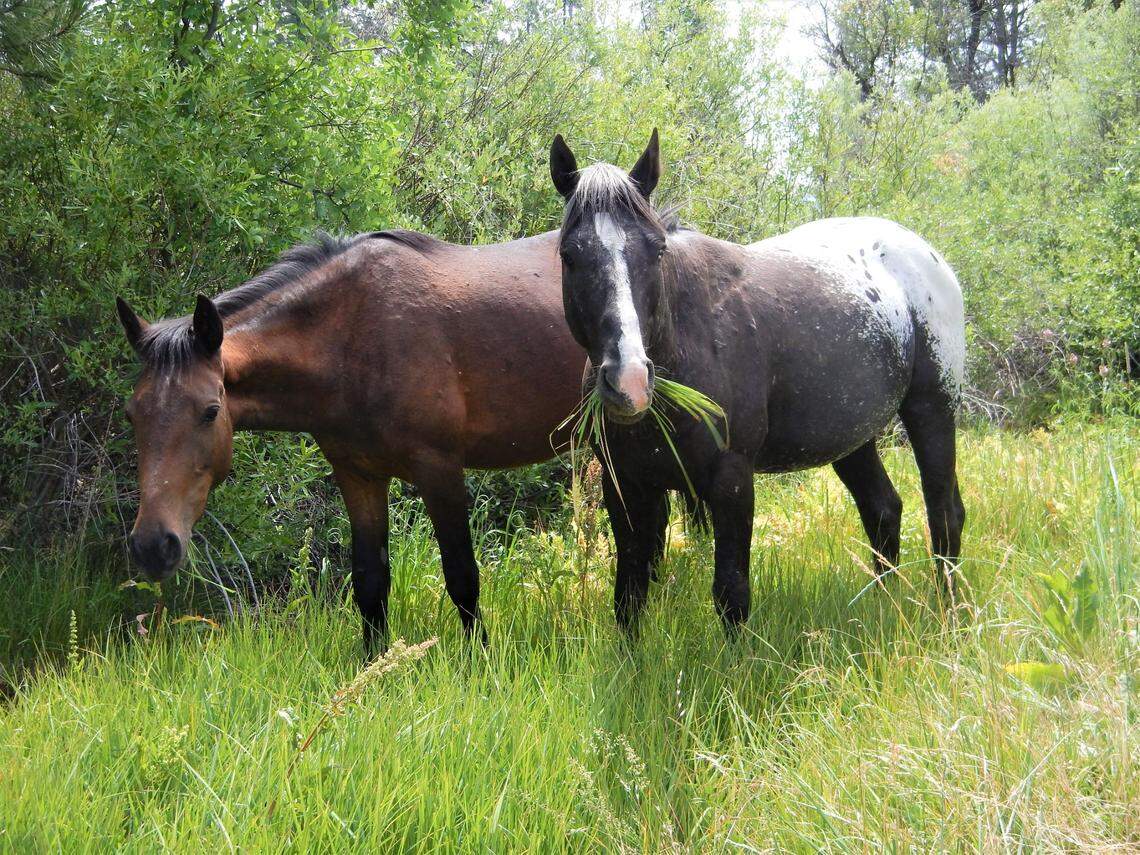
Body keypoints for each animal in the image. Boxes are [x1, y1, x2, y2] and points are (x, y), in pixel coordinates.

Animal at [115, 228, 588, 654]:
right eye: (132, 414)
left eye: (210, 411)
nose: (152, 546)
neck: (353, 336)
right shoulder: (357, 475)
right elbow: (369, 582)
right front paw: (373, 666)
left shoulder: (439, 470)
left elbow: (462, 577)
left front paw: (479, 661)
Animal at [548, 129, 967, 634]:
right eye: (569, 256)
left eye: (657, 250)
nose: (628, 381)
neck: (687, 339)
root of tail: (924, 254)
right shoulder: (626, 486)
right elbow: (629, 594)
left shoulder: (731, 481)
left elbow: (731, 593)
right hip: (852, 437)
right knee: (883, 510)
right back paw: (885, 605)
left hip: (932, 410)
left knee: (945, 514)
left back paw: (950, 617)